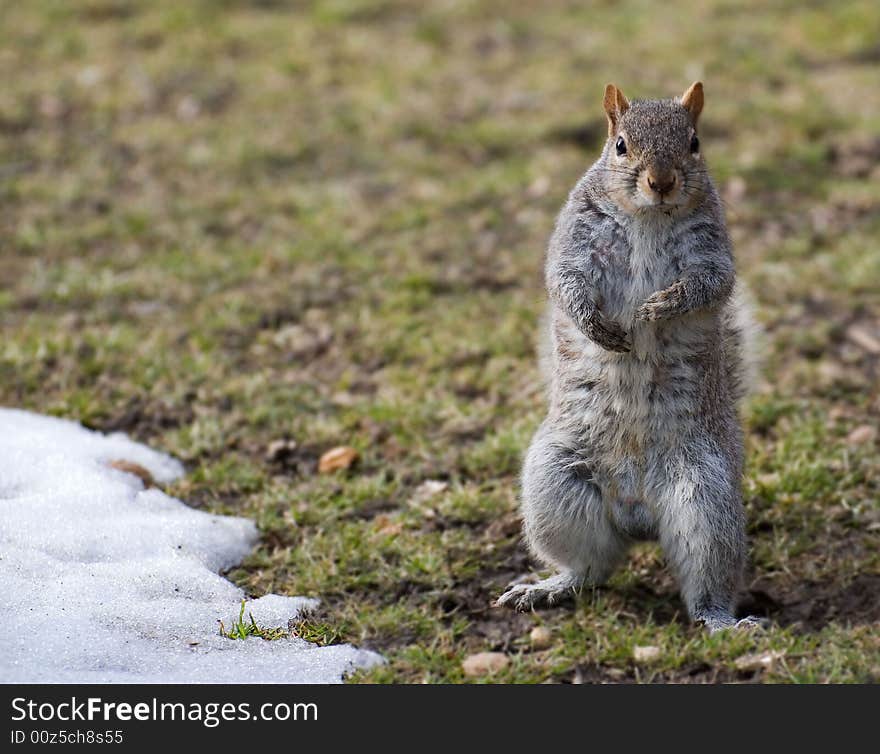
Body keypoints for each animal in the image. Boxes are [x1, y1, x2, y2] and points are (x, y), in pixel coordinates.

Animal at [496, 82, 764, 632]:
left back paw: (722, 622)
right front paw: (598, 327)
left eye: (694, 143)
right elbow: (565, 283)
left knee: (706, 580)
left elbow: (709, 284)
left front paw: (659, 307)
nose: (661, 182)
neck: (648, 217)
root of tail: (638, 513)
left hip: (705, 500)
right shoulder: (574, 242)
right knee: (591, 567)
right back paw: (548, 588)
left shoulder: (712, 252)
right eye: (620, 145)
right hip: (554, 486)